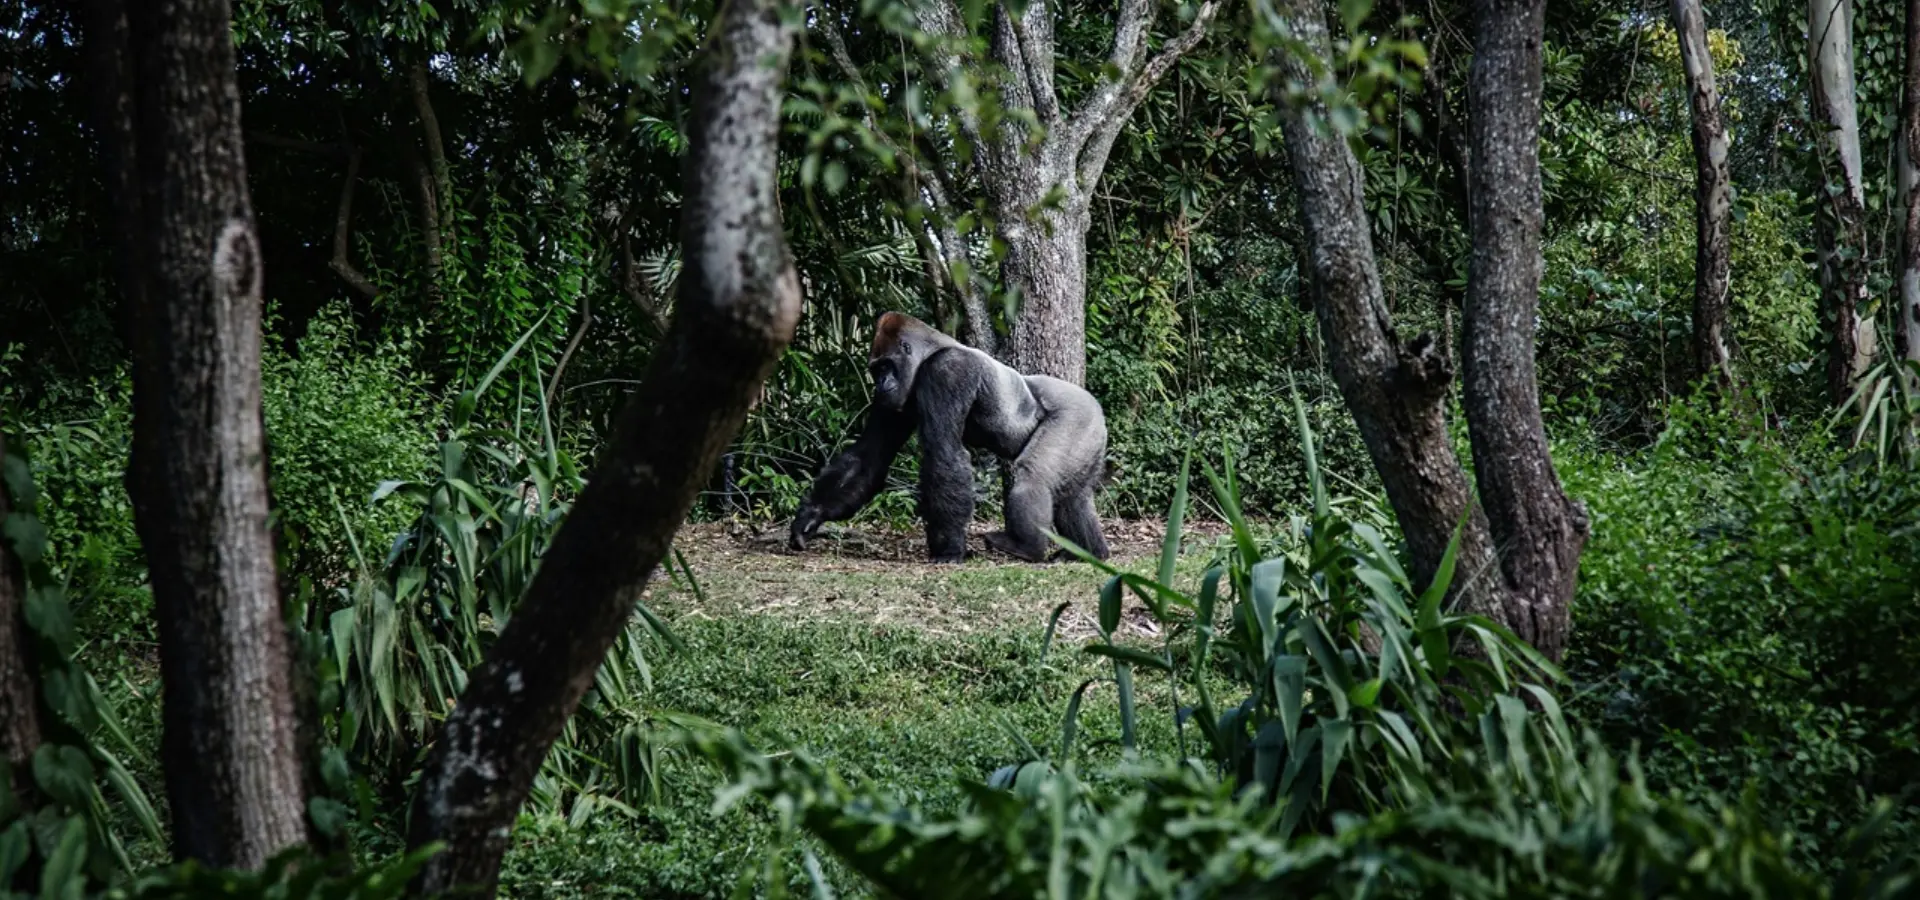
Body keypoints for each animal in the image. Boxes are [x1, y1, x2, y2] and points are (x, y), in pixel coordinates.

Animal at [788, 312, 1111, 563]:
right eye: (875, 369)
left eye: (886, 366)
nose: (880, 384)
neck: (931, 350)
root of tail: (1096, 407)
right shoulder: (894, 400)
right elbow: (869, 456)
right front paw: (811, 515)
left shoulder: (947, 371)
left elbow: (943, 452)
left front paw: (949, 548)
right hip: (1090, 433)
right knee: (1073, 496)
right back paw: (1088, 552)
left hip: (1077, 415)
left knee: (1034, 474)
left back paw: (1026, 547)